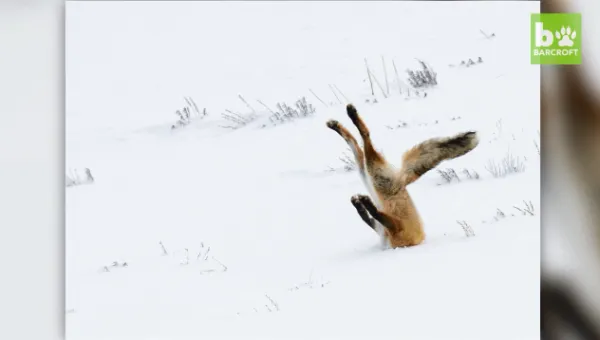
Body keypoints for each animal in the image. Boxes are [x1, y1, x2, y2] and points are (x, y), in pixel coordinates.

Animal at [326, 102, 480, 248]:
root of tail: (402, 181)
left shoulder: (395, 229)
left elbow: (374, 214)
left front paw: (364, 203)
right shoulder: (388, 229)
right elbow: (369, 216)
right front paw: (360, 203)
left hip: (372, 174)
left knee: (363, 139)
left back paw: (348, 117)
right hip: (367, 173)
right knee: (356, 143)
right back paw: (339, 123)